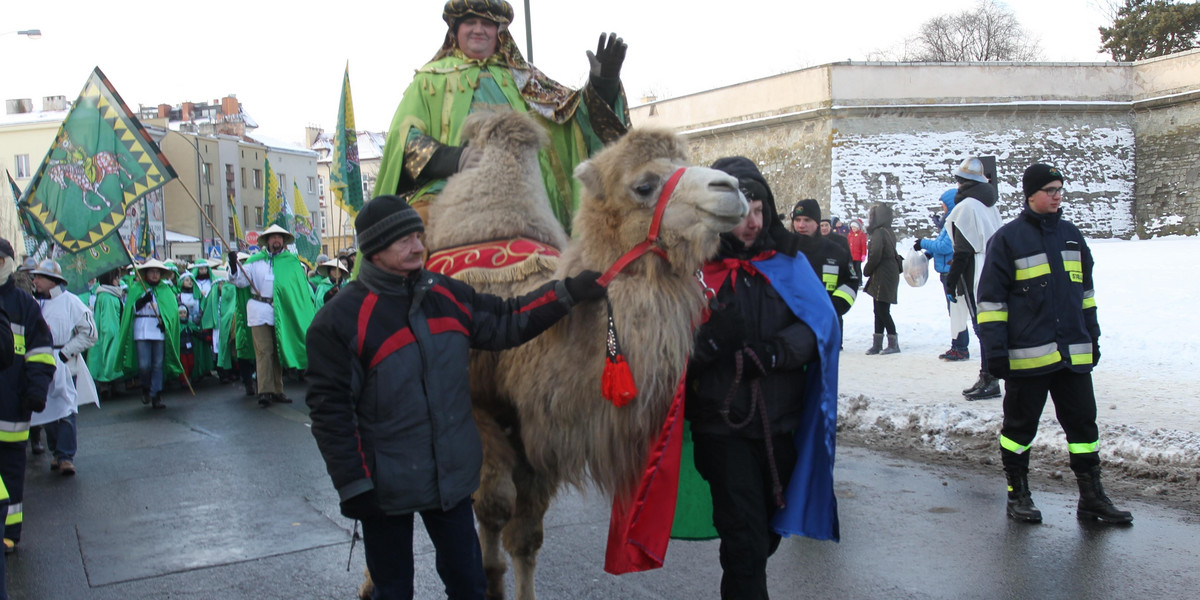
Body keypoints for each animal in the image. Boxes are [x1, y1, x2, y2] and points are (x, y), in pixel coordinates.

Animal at [360, 112, 744, 600]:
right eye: (644, 185)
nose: (731, 187)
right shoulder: (472, 410)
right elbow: (491, 505)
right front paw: (489, 578)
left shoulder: (535, 433)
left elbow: (525, 535)